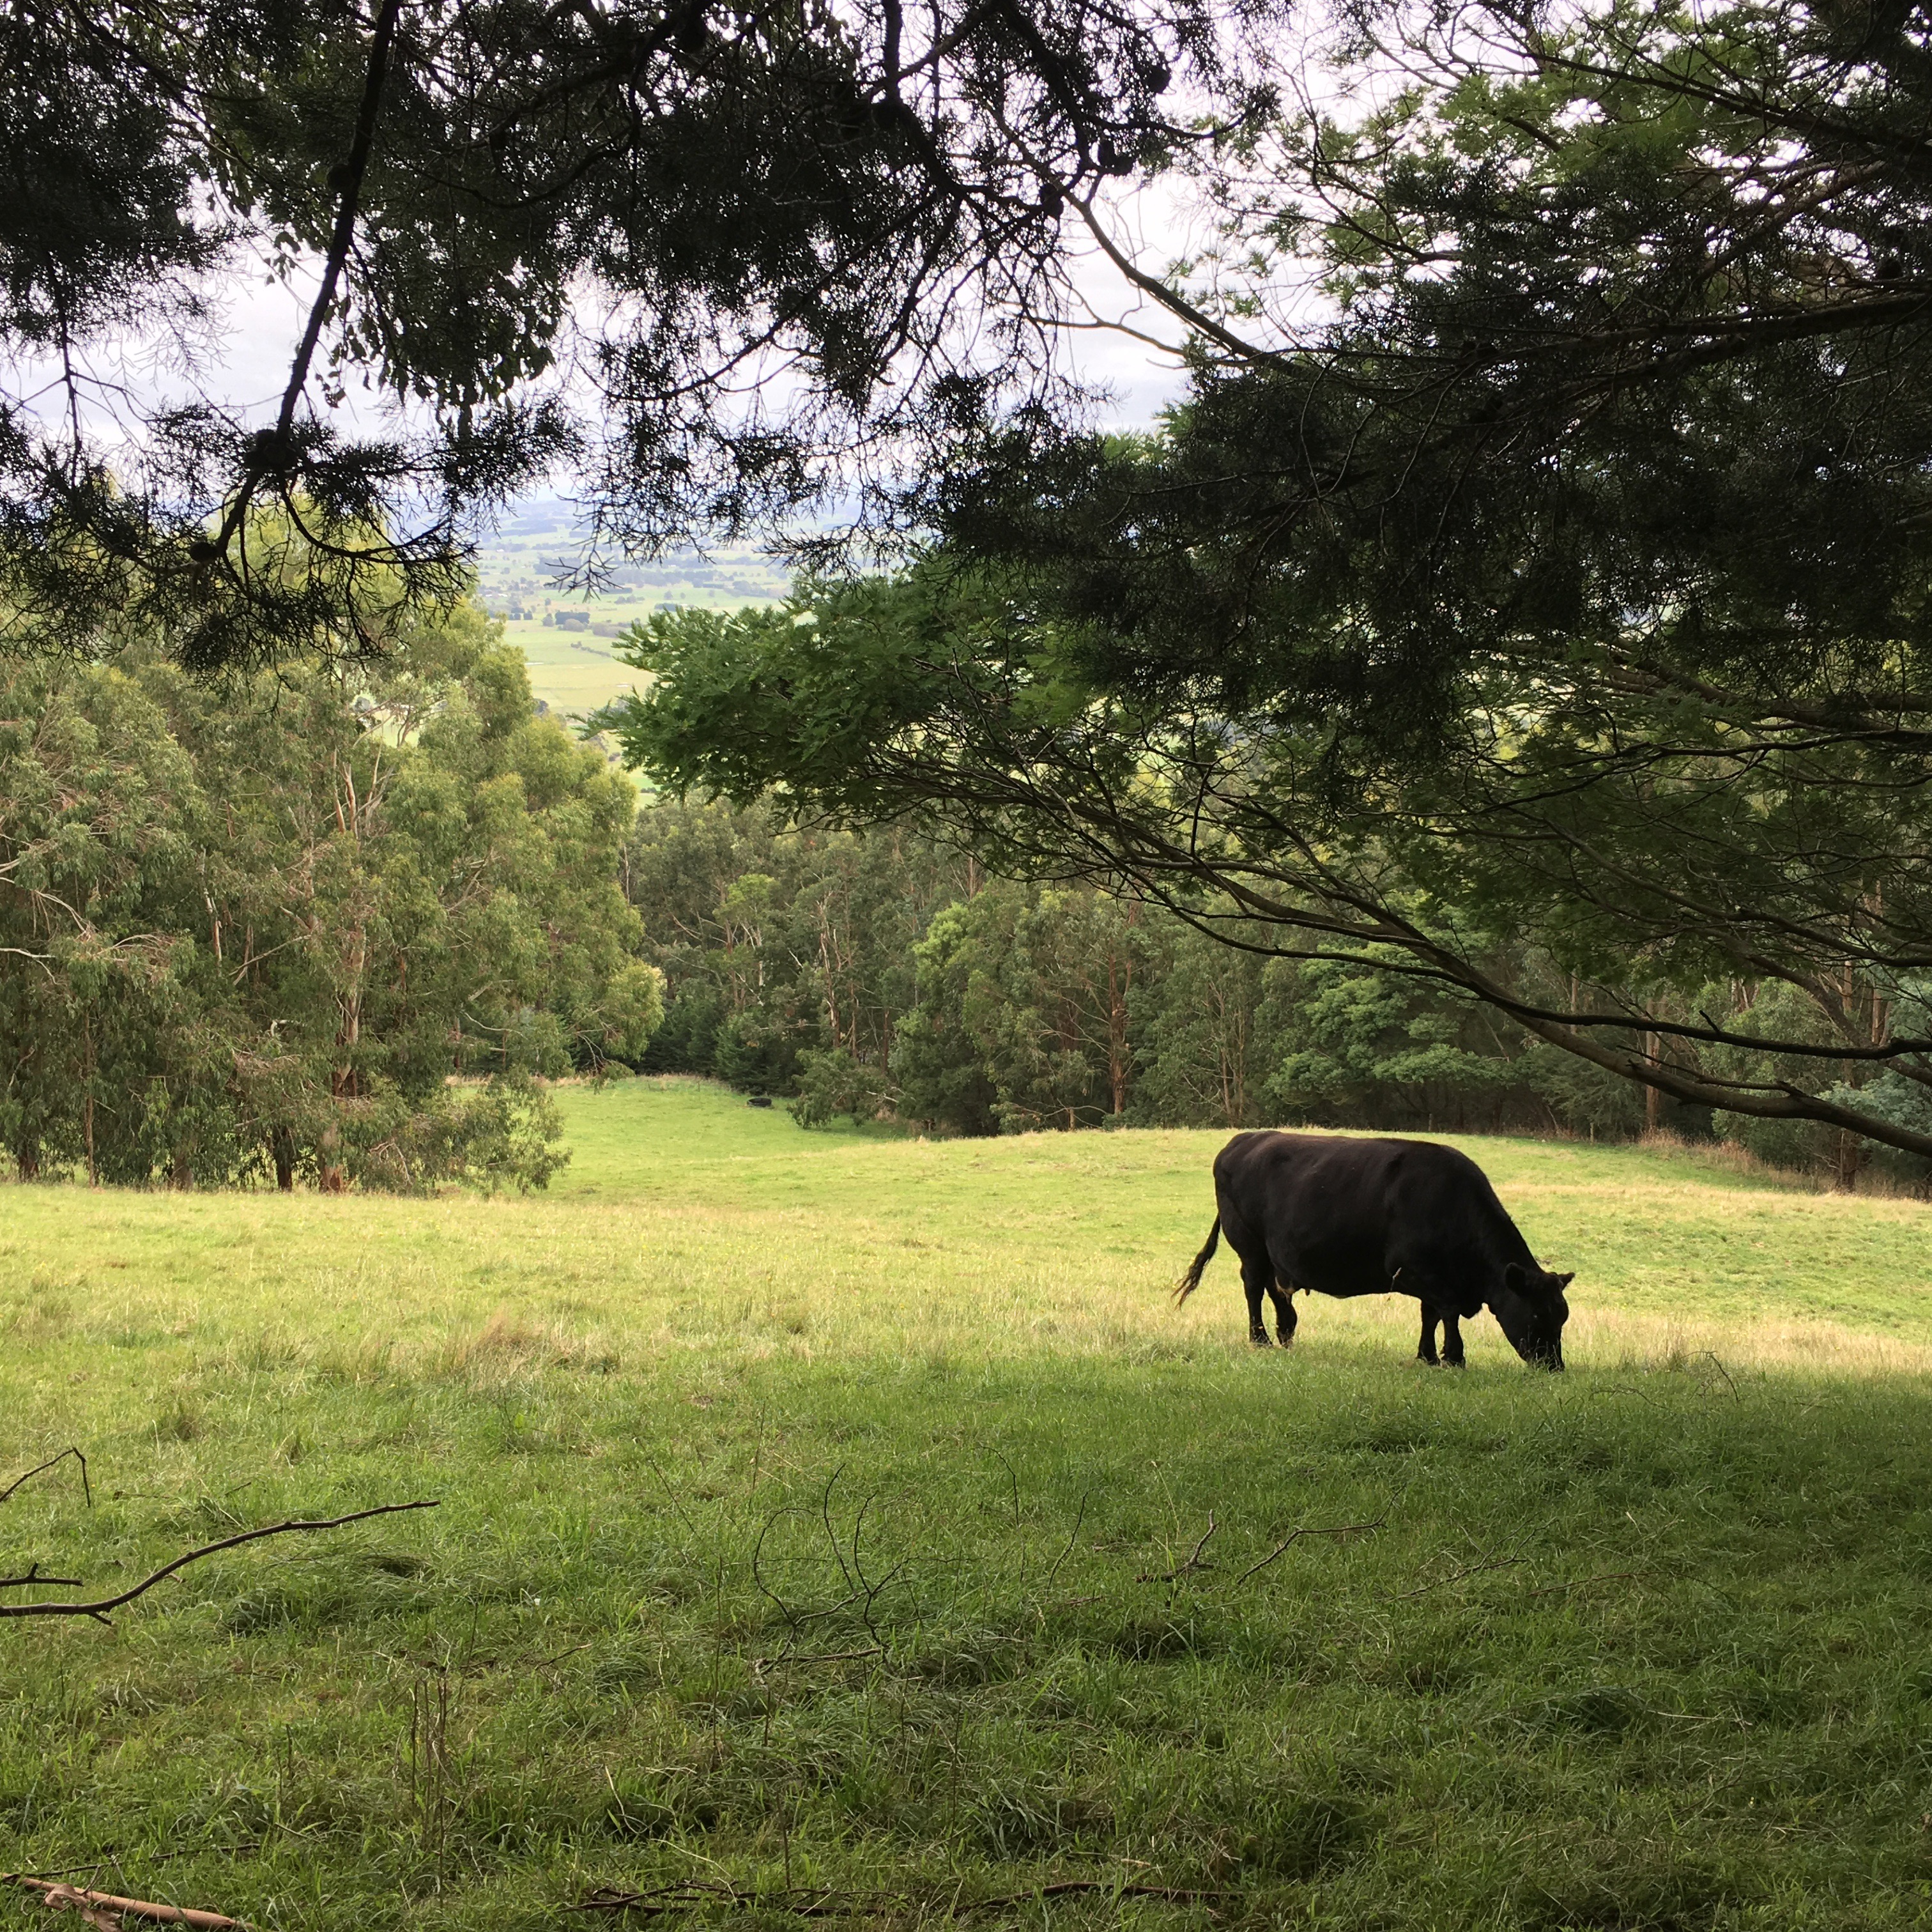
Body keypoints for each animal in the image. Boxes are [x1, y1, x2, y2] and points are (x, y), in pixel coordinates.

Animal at [1174, 1130, 1573, 1369]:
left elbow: (1429, 1315)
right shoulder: (1417, 1271)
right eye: (1537, 1314)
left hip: (1275, 1252)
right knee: (1255, 1287)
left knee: (1277, 1289)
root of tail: (1246, 1137)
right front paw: (1454, 1357)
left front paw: (1428, 1356)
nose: (1554, 1367)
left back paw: (1286, 1332)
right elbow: (1447, 1313)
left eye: (1563, 1317)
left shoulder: (1430, 1276)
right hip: (1249, 1245)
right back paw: (1261, 1339)